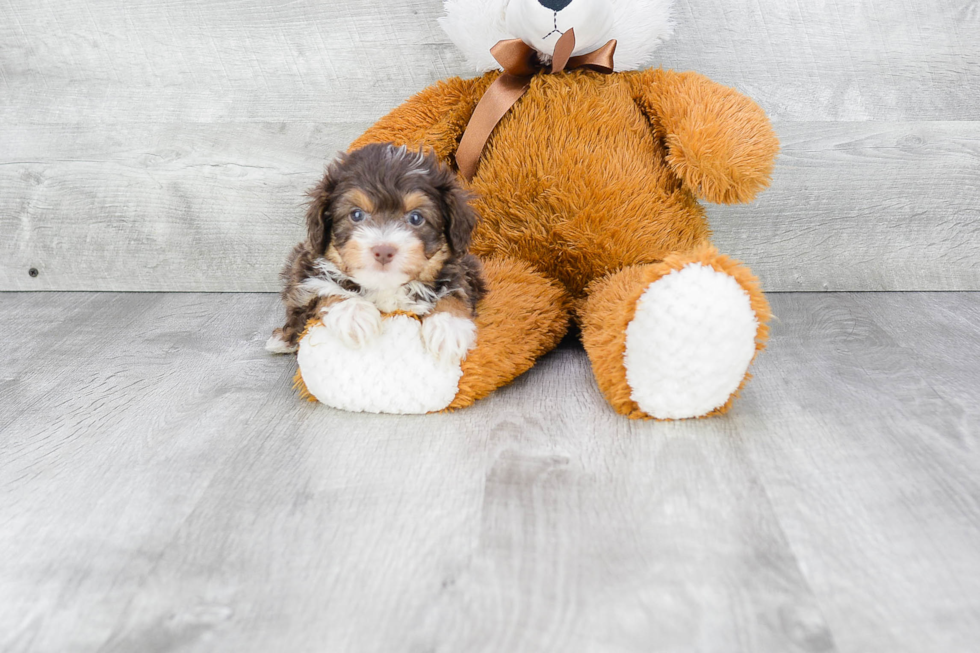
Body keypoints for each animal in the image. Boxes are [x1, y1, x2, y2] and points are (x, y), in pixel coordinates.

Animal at [268, 141, 486, 362]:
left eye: (416, 218)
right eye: (356, 215)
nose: (383, 251)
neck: (385, 287)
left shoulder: (465, 269)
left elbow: (455, 292)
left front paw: (448, 327)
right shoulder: (306, 267)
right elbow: (322, 287)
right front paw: (354, 314)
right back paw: (283, 339)